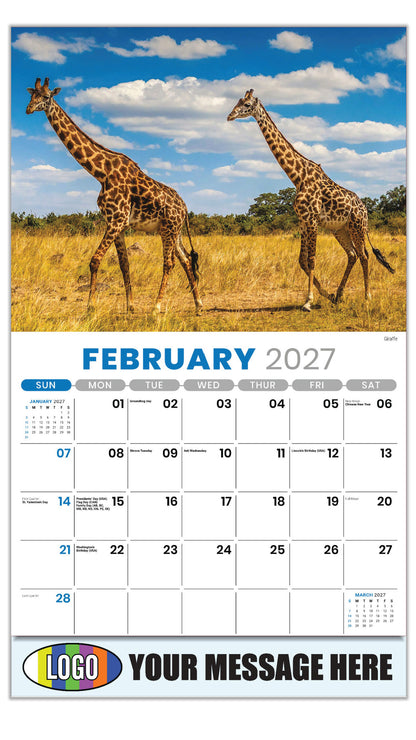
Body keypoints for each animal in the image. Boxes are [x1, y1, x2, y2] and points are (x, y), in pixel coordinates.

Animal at [26, 78, 202, 316]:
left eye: (46, 97)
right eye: (31, 95)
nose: (28, 109)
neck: (101, 172)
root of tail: (184, 208)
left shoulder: (117, 220)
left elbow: (95, 260)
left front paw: (90, 306)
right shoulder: (116, 223)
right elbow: (124, 264)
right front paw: (130, 305)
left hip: (168, 230)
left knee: (170, 263)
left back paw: (157, 306)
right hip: (174, 231)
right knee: (185, 260)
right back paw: (198, 304)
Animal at [227, 89, 394, 311]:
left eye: (246, 104)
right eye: (237, 101)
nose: (229, 116)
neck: (298, 177)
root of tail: (365, 208)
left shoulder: (312, 220)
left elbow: (312, 259)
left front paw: (308, 301)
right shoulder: (303, 221)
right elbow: (302, 260)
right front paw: (326, 295)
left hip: (357, 226)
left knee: (364, 255)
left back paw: (367, 297)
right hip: (339, 229)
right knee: (352, 254)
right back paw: (339, 295)